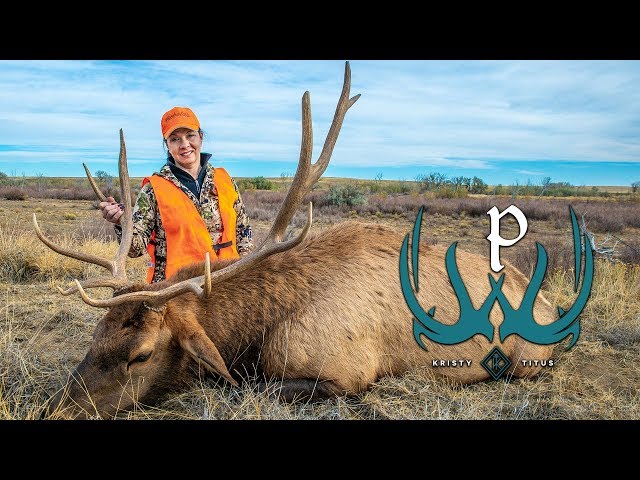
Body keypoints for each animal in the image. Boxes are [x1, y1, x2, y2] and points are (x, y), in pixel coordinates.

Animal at [36, 61, 558, 419]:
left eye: (140, 354)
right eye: (96, 337)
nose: (54, 408)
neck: (256, 333)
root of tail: (552, 302)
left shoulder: (345, 374)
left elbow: (246, 386)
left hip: (529, 359)